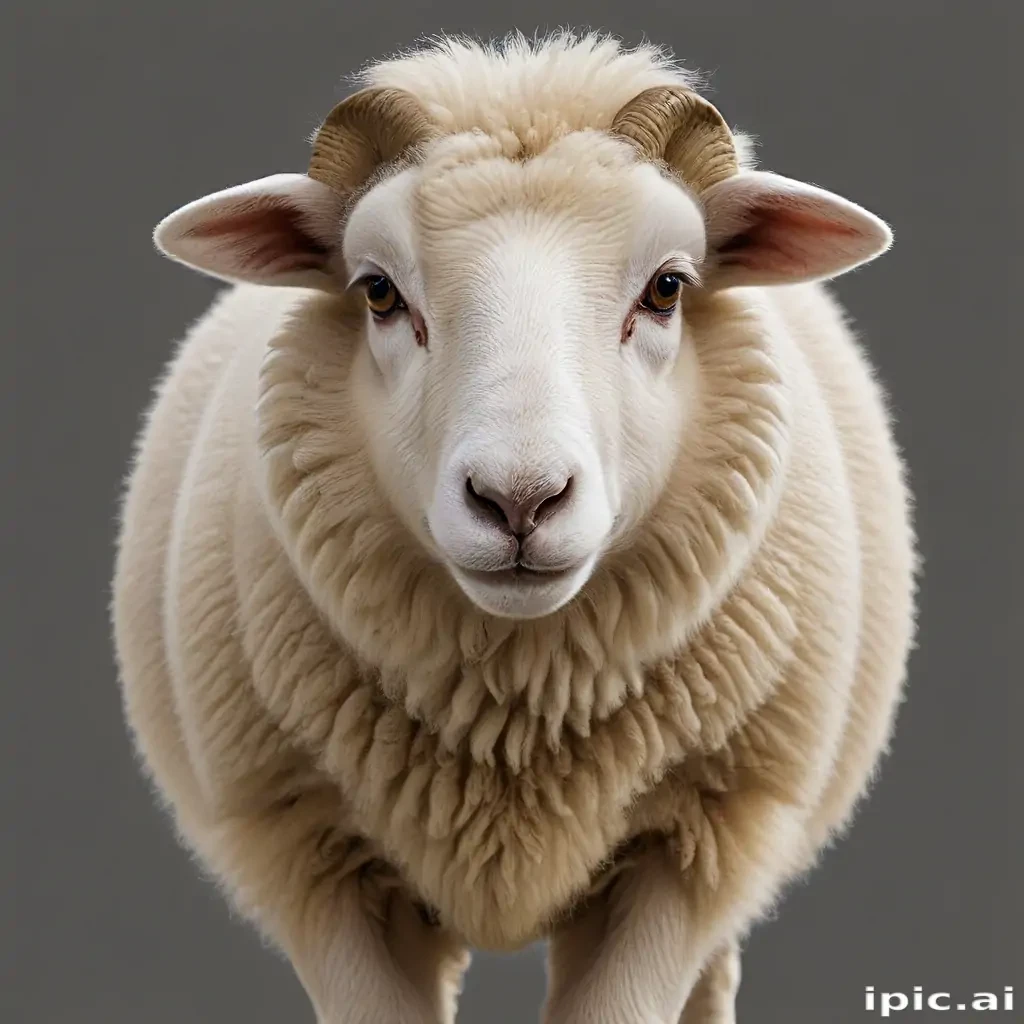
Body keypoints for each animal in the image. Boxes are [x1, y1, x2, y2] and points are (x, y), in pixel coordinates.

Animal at [112, 31, 917, 1024]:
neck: (514, 715)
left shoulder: (695, 842)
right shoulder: (309, 850)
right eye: (377, 292)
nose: (520, 500)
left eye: (667, 289)